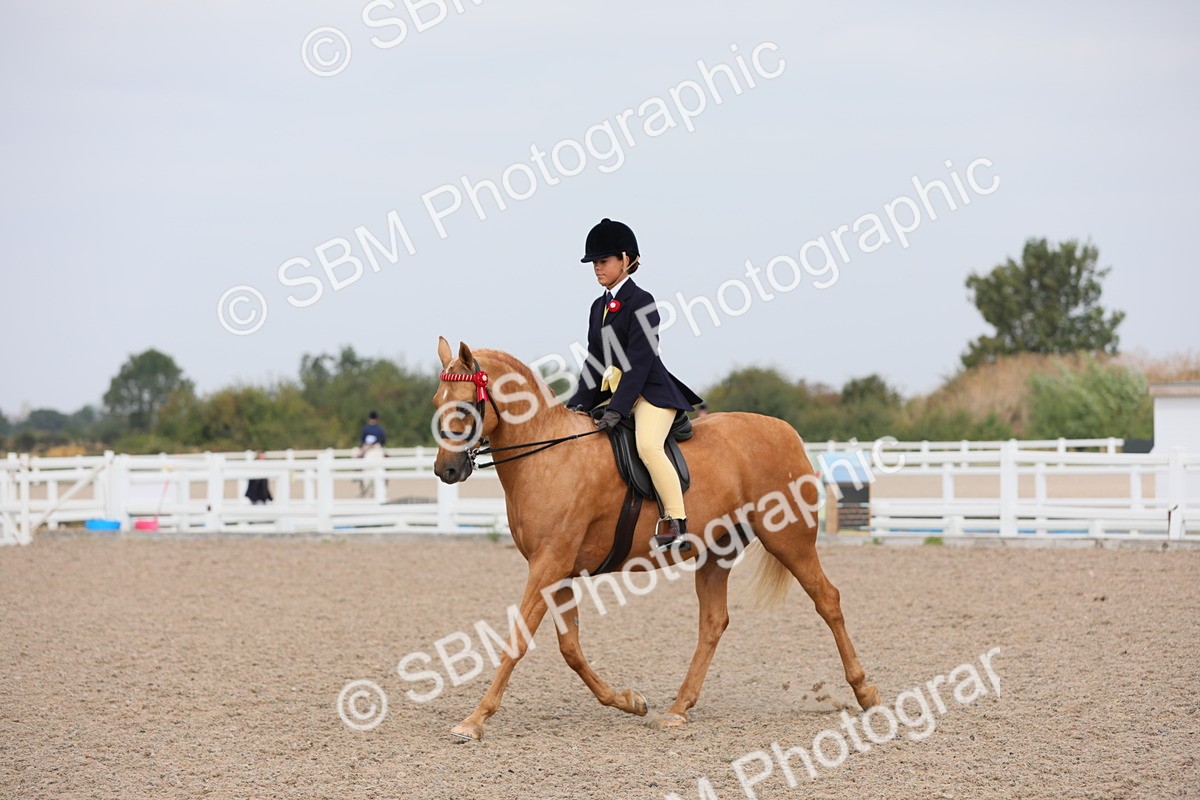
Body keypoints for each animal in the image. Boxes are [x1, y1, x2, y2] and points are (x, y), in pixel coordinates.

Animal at [432, 337, 881, 741]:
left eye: (465, 405)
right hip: (717, 552)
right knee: (713, 622)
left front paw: (474, 720)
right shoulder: (558, 570)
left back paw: (865, 692)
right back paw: (678, 709)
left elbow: (517, 640)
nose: (446, 471)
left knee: (827, 600)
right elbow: (570, 648)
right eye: (438, 400)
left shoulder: (549, 564)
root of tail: (786, 431)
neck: (549, 454)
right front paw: (629, 701)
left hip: (789, 539)